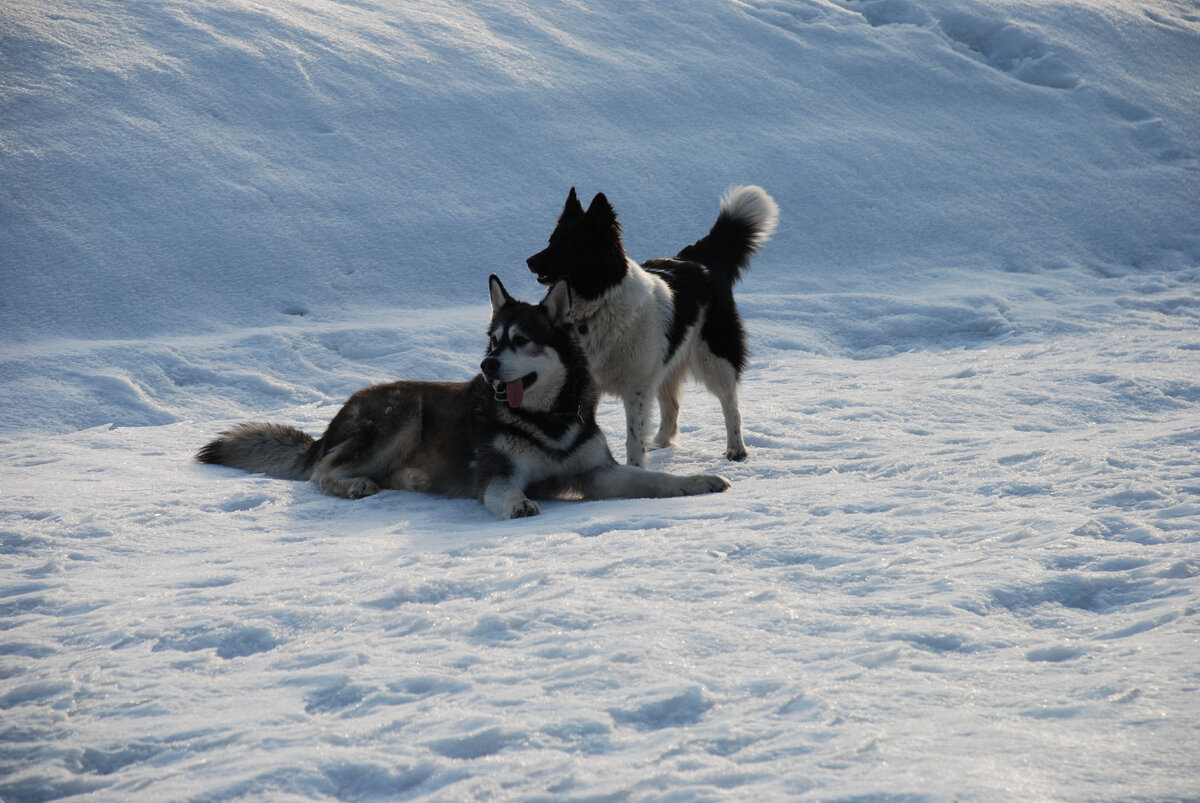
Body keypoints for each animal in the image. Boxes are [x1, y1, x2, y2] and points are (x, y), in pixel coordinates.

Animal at [194, 273, 729, 520]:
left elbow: (652, 480)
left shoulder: (597, 472)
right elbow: (504, 489)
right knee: (323, 471)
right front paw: (518, 504)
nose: (487, 366)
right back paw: (355, 484)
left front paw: (697, 481)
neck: (546, 421)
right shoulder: (498, 473)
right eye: (492, 342)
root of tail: (335, 419)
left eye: (521, 340)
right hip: (402, 412)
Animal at [528, 184, 777, 465]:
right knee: (673, 406)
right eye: (551, 240)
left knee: (731, 404)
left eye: (570, 243)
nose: (529, 261)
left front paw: (635, 467)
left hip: (714, 359)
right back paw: (660, 443)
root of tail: (699, 260)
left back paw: (736, 449)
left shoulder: (636, 387)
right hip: (665, 366)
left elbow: (633, 438)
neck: (599, 303)